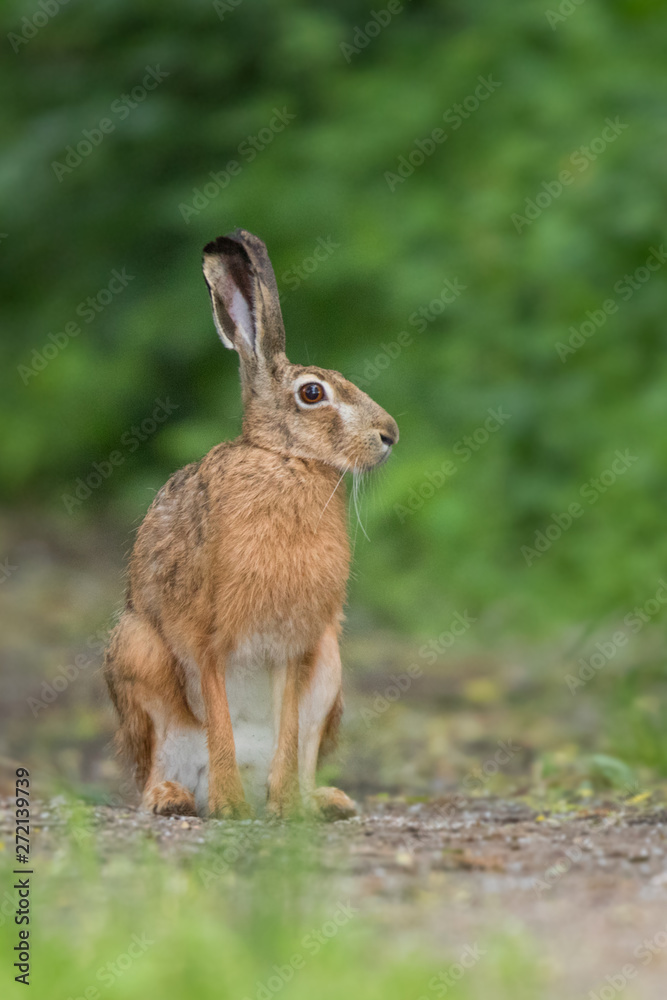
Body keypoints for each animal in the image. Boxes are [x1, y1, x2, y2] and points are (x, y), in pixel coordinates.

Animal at [103, 229, 399, 820]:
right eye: (313, 393)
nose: (390, 434)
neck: (284, 459)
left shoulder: (298, 647)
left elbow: (287, 730)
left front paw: (282, 808)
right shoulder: (206, 638)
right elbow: (218, 720)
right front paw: (230, 808)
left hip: (331, 669)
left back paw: (319, 803)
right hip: (137, 654)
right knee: (153, 766)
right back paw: (176, 799)